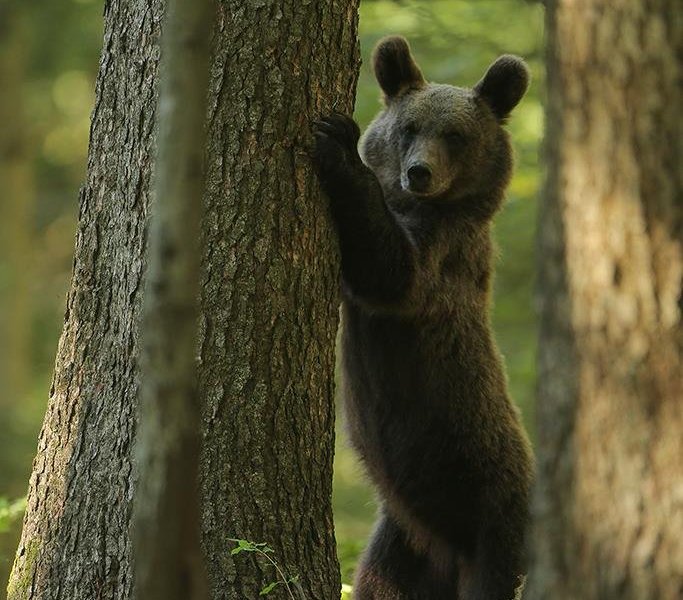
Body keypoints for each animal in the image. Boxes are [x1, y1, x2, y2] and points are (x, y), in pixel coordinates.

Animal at [314, 35, 536, 596]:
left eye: (456, 135)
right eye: (410, 127)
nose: (420, 172)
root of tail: (448, 550)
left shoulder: (442, 256)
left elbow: (394, 272)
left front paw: (337, 139)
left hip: (494, 519)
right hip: (400, 540)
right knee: (382, 580)